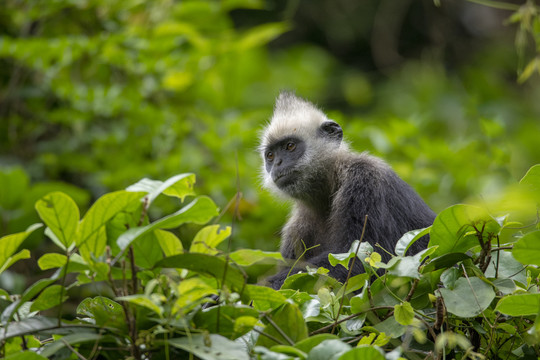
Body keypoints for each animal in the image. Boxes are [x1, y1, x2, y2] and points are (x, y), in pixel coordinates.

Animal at [260, 93, 436, 290]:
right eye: (270, 156)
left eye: (290, 146)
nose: (277, 163)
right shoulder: (296, 228)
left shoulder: (364, 180)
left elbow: (359, 263)